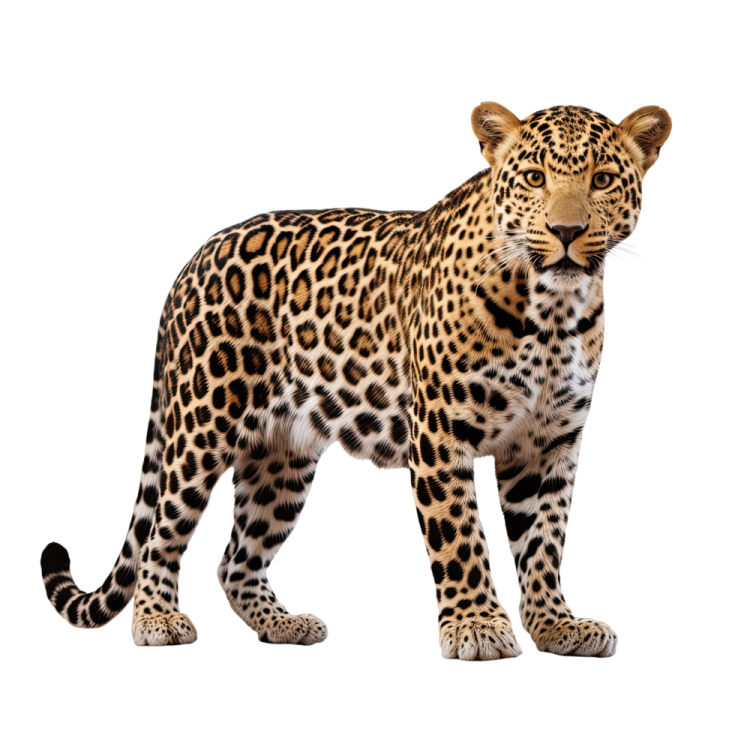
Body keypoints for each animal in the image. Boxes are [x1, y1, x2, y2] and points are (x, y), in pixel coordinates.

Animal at [40, 101, 672, 659]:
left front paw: (556, 626)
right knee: (162, 532)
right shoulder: (442, 432)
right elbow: (461, 536)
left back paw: (285, 626)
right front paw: (477, 629)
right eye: (535, 179)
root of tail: (193, 259)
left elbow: (544, 541)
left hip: (284, 456)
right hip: (203, 421)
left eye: (603, 180)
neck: (553, 311)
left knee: (235, 559)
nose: (567, 230)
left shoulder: (549, 443)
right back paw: (157, 620)